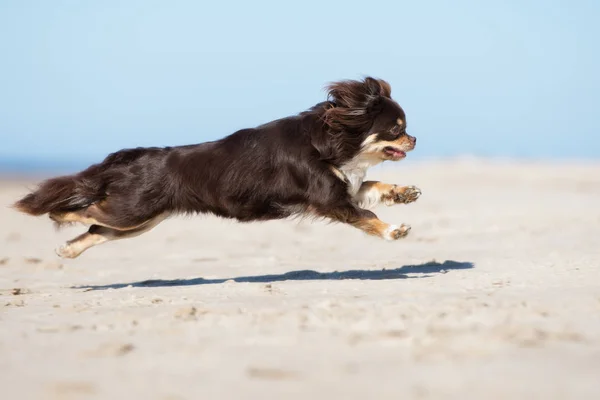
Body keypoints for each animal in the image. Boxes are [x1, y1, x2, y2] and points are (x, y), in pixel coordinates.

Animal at [12, 76, 418, 258]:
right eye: (397, 129)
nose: (414, 140)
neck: (335, 142)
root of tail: (132, 157)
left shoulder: (341, 187)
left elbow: (370, 187)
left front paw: (402, 192)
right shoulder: (328, 198)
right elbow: (365, 216)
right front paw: (393, 230)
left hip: (141, 221)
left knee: (97, 227)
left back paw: (68, 251)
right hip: (132, 211)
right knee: (86, 210)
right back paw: (58, 216)